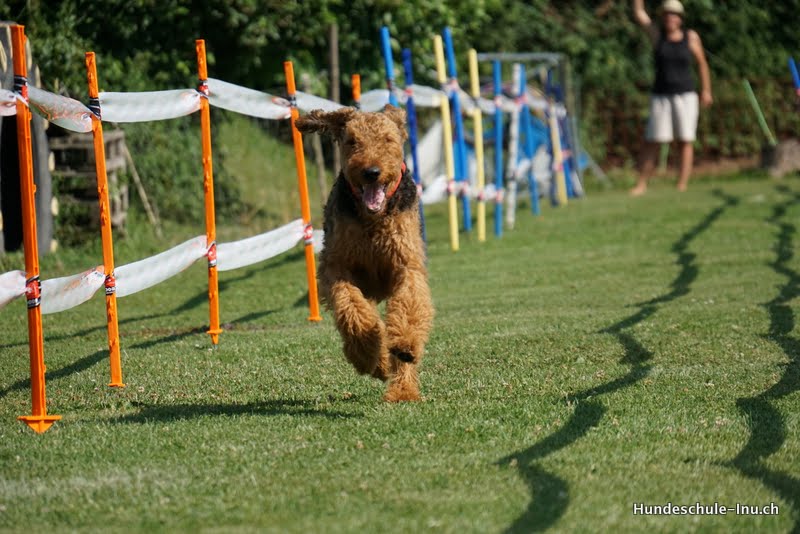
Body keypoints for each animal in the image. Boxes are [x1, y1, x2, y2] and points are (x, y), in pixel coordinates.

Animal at [295, 105, 433, 401]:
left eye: (388, 140)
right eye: (352, 141)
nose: (371, 172)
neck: (373, 219)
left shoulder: (407, 265)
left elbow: (408, 308)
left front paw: (405, 345)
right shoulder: (336, 267)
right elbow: (352, 309)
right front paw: (367, 351)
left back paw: (403, 389)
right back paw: (378, 362)